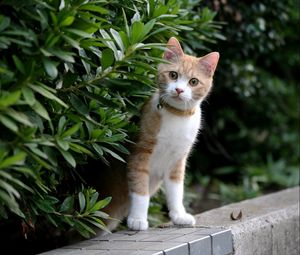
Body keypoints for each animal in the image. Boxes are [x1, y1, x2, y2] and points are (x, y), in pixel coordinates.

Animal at [92, 36, 220, 232]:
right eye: (173, 75)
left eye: (193, 82)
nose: (179, 90)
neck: (177, 116)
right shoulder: (139, 154)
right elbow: (140, 189)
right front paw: (137, 219)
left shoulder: (177, 160)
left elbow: (176, 191)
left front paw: (179, 216)